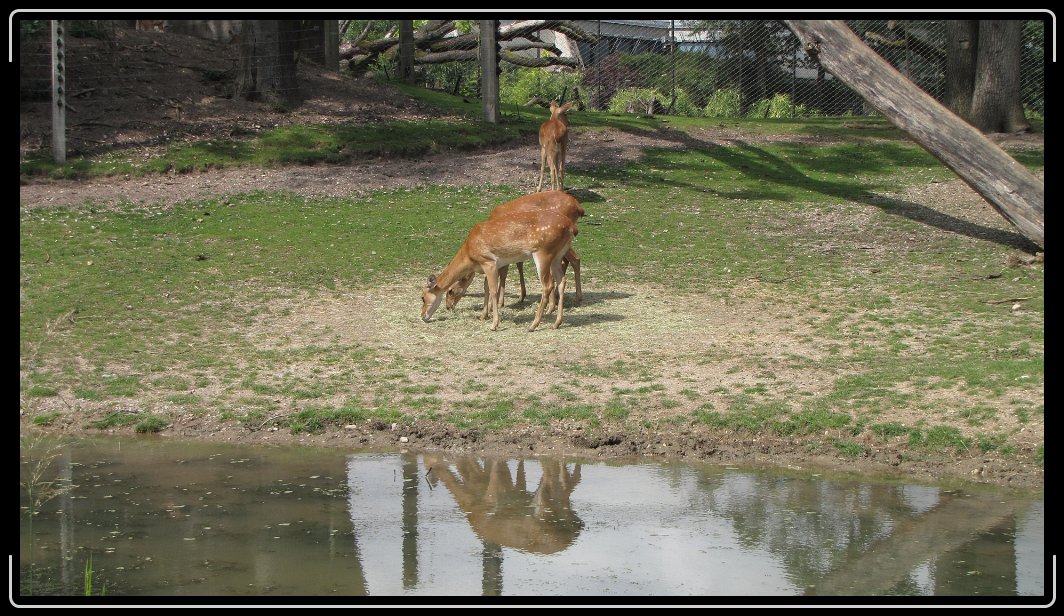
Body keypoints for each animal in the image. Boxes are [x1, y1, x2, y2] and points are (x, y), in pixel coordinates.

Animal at [419, 209, 578, 331]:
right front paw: (483, 316)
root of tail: (572, 228)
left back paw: (533, 325)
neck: (469, 255)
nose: (423, 316)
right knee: (562, 281)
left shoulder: (489, 261)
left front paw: (494, 324)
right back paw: (556, 323)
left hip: (544, 252)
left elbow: (493, 290)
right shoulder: (488, 266)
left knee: (548, 285)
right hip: (558, 255)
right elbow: (486, 288)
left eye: (423, 297)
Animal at [444, 191, 587, 319]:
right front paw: (517, 297)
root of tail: (579, 208)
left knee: (573, 260)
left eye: (450, 290)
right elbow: (513, 268)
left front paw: (498, 303)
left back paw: (566, 301)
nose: (448, 306)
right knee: (567, 261)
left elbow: (503, 273)